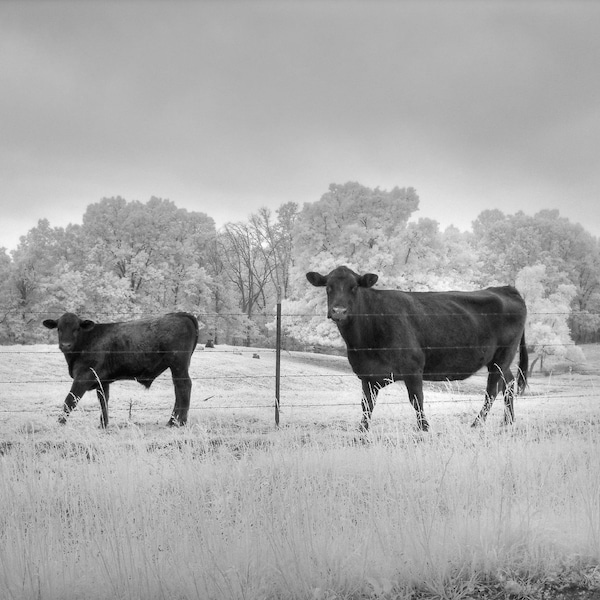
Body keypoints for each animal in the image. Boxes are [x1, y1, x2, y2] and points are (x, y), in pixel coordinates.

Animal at [42, 314, 197, 426]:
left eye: (77, 329)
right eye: (59, 329)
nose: (65, 345)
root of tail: (180, 314)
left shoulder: (84, 376)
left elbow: (69, 401)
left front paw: (60, 423)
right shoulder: (102, 381)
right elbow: (103, 401)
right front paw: (103, 424)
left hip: (178, 365)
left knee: (184, 387)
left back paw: (179, 422)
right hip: (177, 367)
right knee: (178, 389)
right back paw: (173, 420)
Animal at [308, 268, 528, 432]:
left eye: (354, 287)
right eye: (328, 287)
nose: (339, 311)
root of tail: (505, 289)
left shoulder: (413, 368)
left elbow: (416, 400)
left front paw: (424, 428)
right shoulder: (368, 374)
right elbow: (366, 405)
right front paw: (362, 432)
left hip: (502, 355)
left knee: (492, 390)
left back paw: (477, 424)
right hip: (502, 360)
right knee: (508, 384)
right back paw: (508, 422)